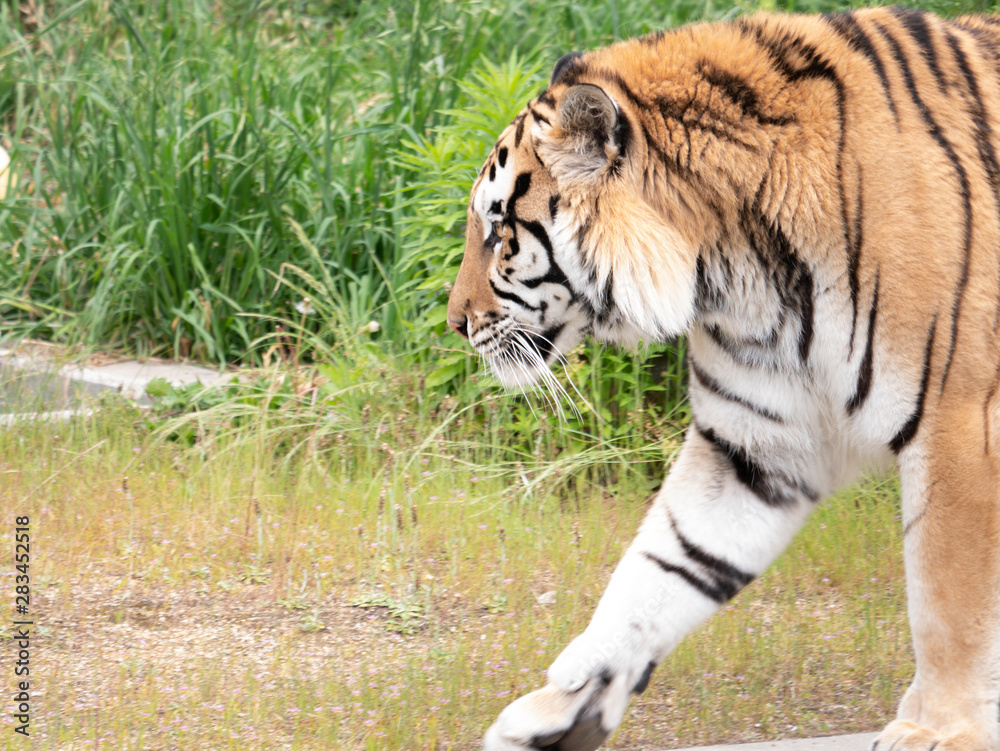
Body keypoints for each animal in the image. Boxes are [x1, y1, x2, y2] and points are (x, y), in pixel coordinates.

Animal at [446, 6, 1000, 751]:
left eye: (499, 229)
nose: (456, 321)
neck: (740, 263)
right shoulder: (756, 445)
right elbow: (658, 568)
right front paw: (564, 706)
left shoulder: (958, 424)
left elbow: (946, 603)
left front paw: (938, 727)